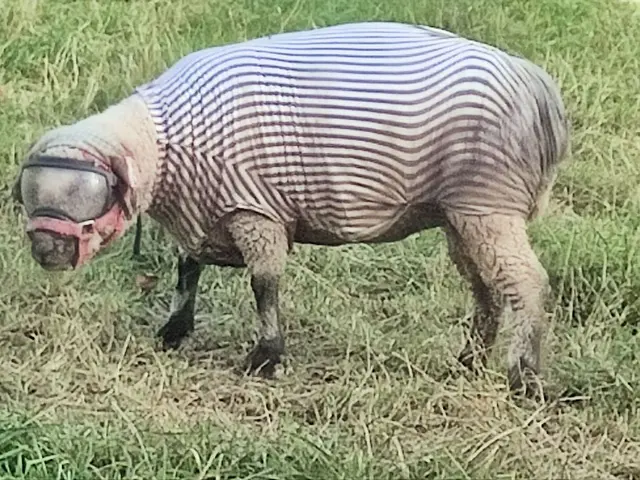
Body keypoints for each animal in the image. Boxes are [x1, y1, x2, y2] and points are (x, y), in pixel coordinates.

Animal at [13, 21, 570, 398]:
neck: (162, 147)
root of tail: (537, 87)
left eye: (95, 195)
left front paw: (265, 358)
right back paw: (469, 361)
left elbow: (264, 285)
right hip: (462, 213)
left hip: (488, 204)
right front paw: (174, 332)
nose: (46, 253)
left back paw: (524, 377)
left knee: (526, 282)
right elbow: (186, 270)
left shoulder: (254, 212)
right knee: (485, 283)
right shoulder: (206, 209)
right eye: (29, 194)